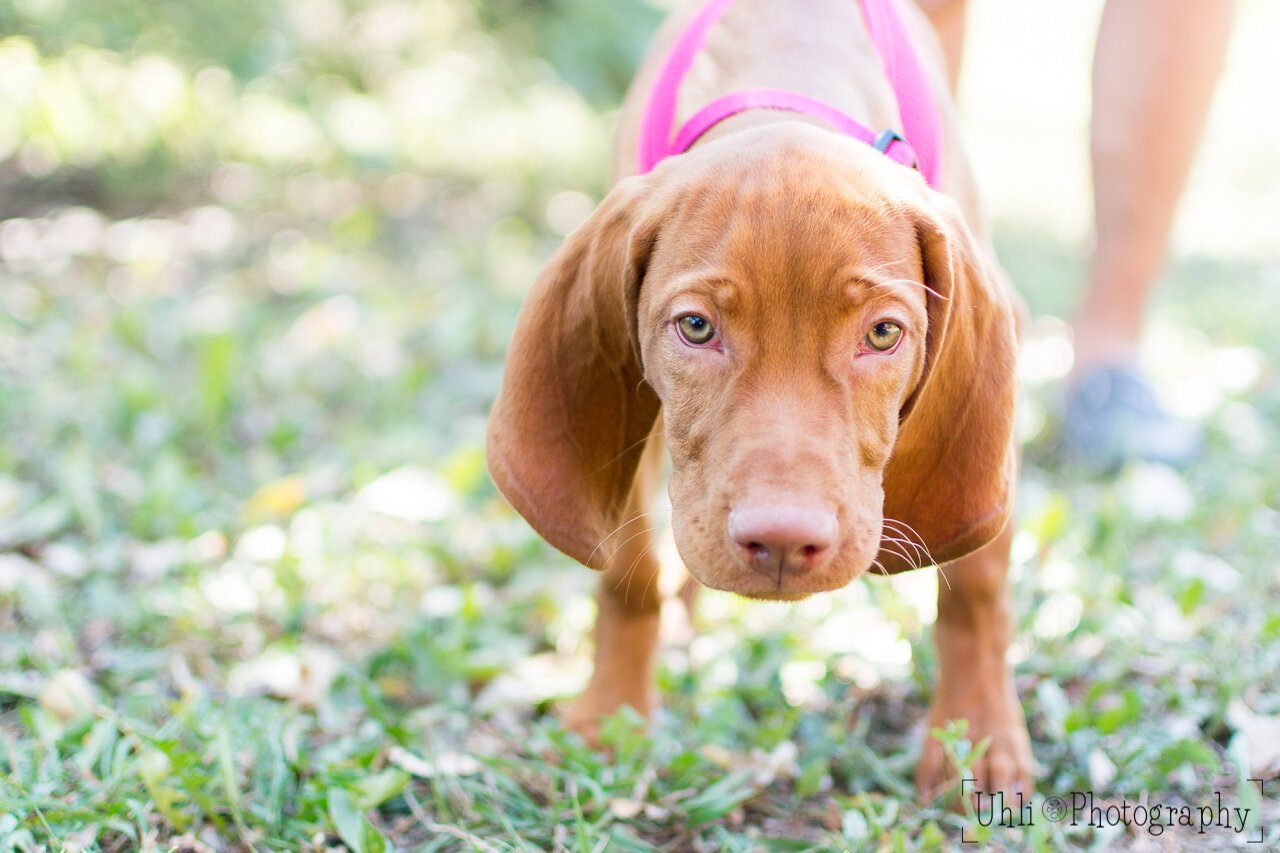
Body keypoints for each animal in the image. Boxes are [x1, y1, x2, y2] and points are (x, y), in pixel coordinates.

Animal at [483, 0, 1034, 799]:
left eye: (883, 333)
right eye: (696, 327)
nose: (779, 542)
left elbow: (979, 581)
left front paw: (977, 733)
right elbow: (628, 570)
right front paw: (611, 716)